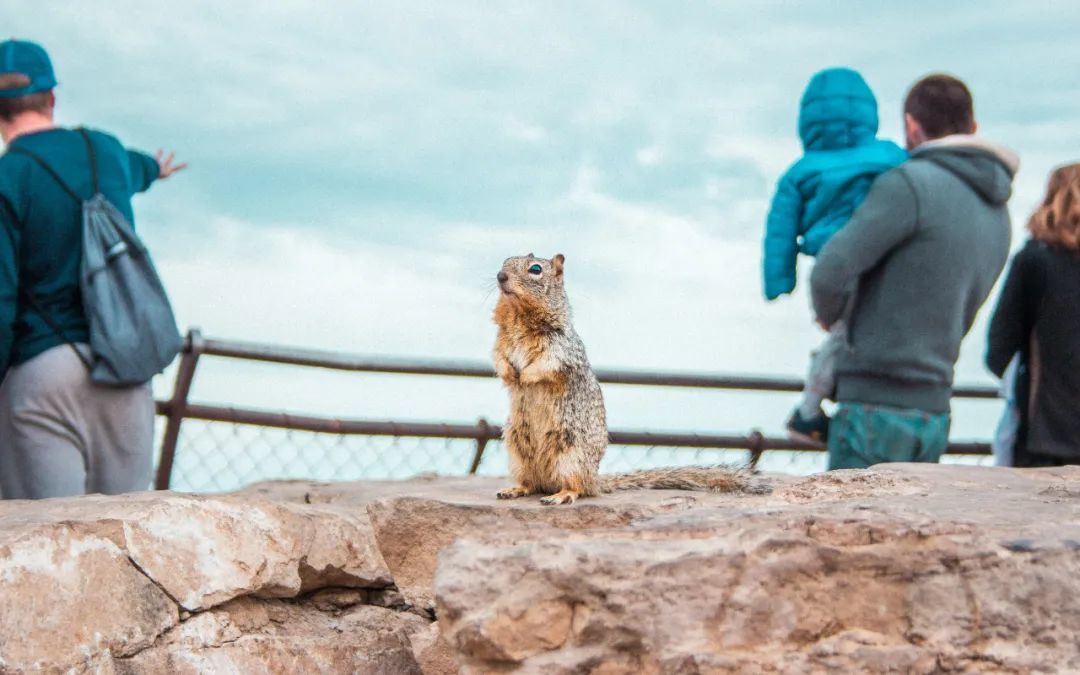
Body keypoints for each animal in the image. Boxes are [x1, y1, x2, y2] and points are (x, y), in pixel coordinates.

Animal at [494, 253, 756, 505]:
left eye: (535, 269)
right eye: (505, 261)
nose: (500, 276)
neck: (519, 316)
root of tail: (594, 480)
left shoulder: (561, 349)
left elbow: (547, 365)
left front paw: (524, 376)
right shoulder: (501, 344)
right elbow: (499, 360)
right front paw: (510, 374)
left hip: (571, 455)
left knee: (577, 487)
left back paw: (561, 495)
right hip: (517, 452)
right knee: (532, 483)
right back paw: (514, 489)